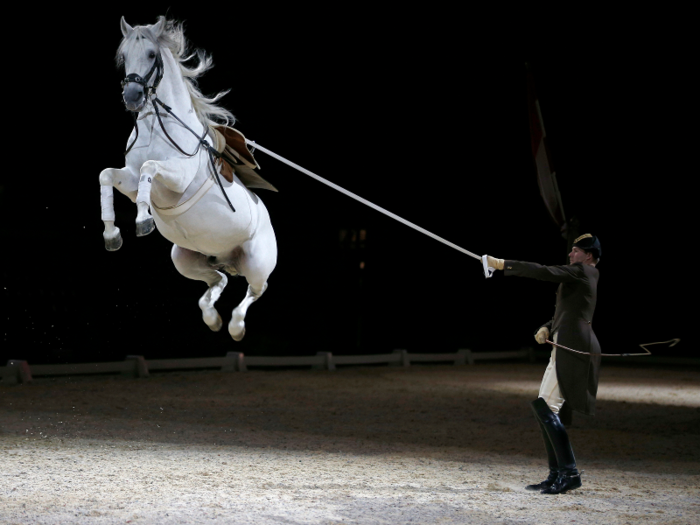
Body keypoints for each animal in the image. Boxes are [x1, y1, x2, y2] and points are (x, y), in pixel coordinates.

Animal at [99, 16, 278, 340]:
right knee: (219, 280)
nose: (132, 97)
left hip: (257, 262)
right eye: (124, 56)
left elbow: (149, 169)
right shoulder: (128, 181)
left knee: (255, 290)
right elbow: (108, 175)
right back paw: (212, 318)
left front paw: (142, 221)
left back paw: (235, 326)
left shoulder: (177, 178)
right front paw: (112, 234)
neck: (156, 127)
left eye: (151, 54)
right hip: (184, 259)